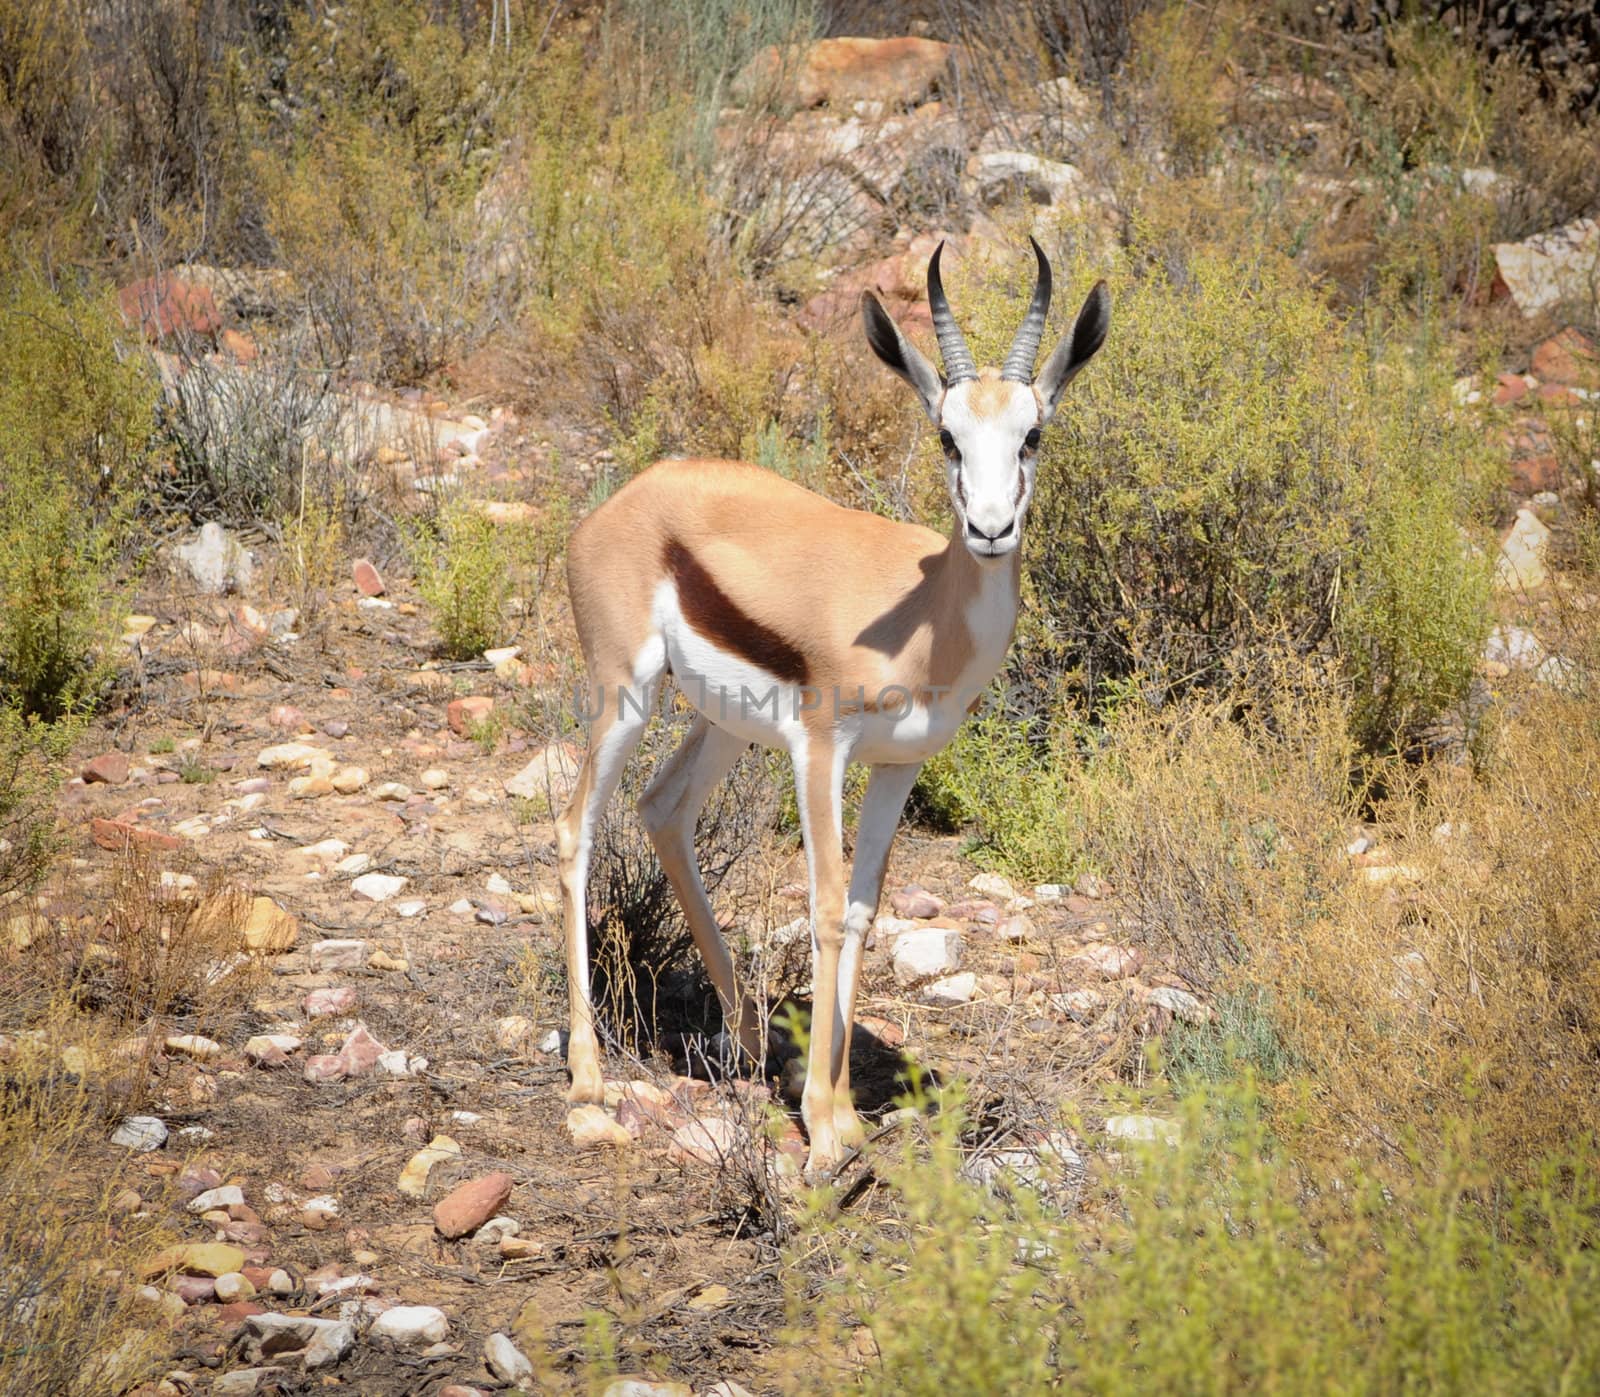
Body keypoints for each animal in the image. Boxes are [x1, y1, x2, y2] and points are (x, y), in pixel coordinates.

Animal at [556, 243, 1107, 1177]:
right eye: (947, 436)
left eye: (1031, 433)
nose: (991, 529)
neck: (926, 618)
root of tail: (629, 497)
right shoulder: (821, 748)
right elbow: (820, 904)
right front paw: (819, 1128)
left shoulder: (899, 765)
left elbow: (859, 910)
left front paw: (844, 1113)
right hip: (622, 695)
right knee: (576, 829)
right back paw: (590, 1074)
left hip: (720, 724)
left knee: (662, 809)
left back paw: (751, 1040)